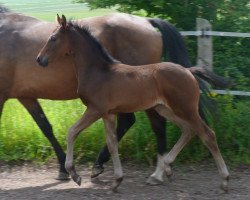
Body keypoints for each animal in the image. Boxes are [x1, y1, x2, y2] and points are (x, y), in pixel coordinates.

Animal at [1, 4, 196, 183]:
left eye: (53, 38)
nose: (39, 59)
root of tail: (146, 21)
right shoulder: (26, 96)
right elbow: (46, 127)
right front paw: (64, 169)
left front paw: (69, 170)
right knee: (130, 123)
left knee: (157, 124)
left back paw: (157, 172)